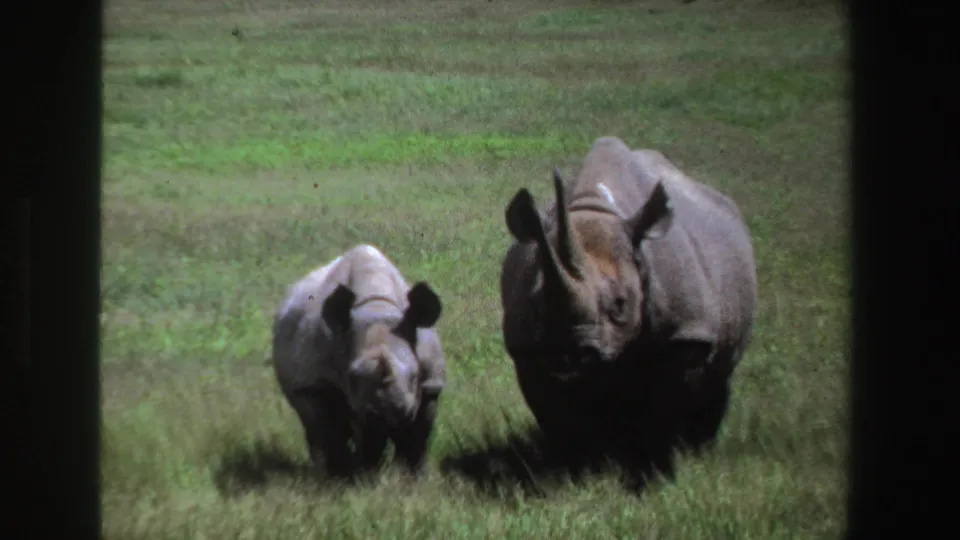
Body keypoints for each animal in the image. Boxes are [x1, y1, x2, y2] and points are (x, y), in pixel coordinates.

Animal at [272, 244, 446, 479]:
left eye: (415, 376)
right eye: (352, 377)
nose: (390, 410)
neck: (377, 307)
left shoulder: (431, 386)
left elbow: (417, 440)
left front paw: (412, 479)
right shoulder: (315, 382)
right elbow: (331, 430)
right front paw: (348, 478)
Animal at [500, 136, 757, 477]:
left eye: (620, 304)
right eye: (538, 303)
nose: (572, 352)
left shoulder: (686, 333)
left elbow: (666, 408)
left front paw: (657, 469)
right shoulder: (527, 348)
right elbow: (555, 414)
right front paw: (576, 470)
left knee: (720, 374)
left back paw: (700, 449)